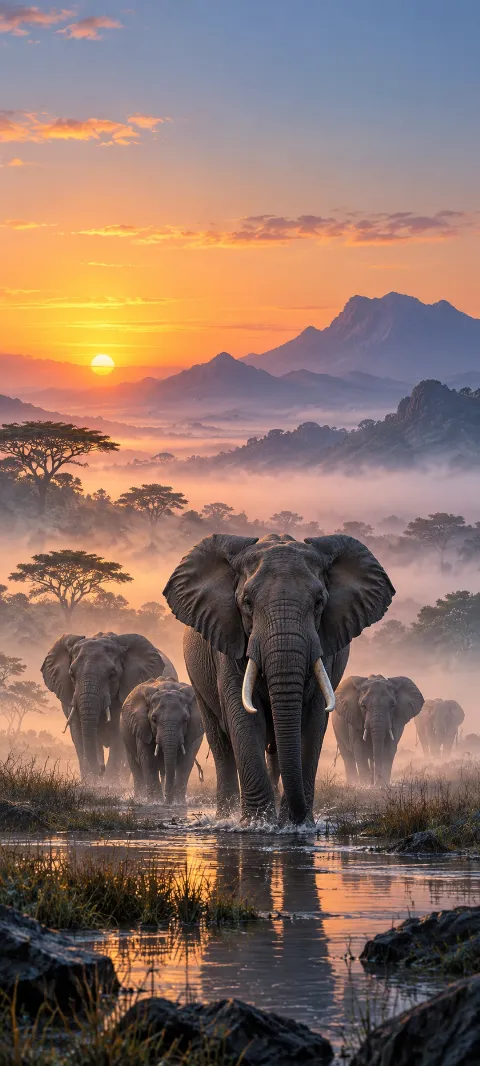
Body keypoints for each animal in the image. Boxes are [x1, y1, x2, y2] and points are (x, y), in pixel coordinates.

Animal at [41, 631, 177, 779]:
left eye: (112, 674)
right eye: (71, 674)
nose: (101, 769)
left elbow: (118, 736)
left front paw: (109, 783)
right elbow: (78, 733)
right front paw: (91, 781)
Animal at [163, 532, 394, 825]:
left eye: (319, 602)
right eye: (247, 603)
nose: (297, 815)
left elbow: (313, 719)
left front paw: (296, 825)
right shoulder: (229, 641)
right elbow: (244, 717)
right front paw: (257, 824)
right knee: (222, 745)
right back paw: (226, 815)